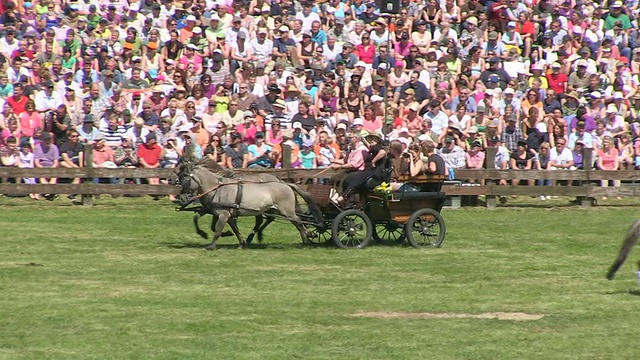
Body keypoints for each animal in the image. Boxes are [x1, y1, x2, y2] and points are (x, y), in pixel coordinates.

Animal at [181, 167, 320, 249]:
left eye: (185, 179)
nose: (181, 198)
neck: (217, 188)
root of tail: (286, 184)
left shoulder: (224, 214)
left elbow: (218, 230)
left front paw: (211, 245)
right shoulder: (224, 214)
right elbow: (234, 229)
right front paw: (241, 242)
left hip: (287, 211)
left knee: (298, 222)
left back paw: (307, 238)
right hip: (275, 210)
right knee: (293, 222)